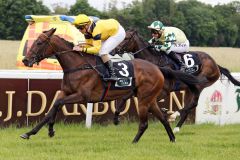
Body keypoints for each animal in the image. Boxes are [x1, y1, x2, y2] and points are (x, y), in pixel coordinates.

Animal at [19, 28, 178, 143]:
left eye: (39, 43)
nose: (26, 60)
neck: (77, 66)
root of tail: (157, 68)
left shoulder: (82, 96)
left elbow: (57, 104)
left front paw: (44, 130)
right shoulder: (65, 92)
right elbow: (53, 108)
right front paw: (35, 132)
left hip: (144, 99)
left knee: (144, 123)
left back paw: (134, 142)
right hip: (149, 98)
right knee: (163, 118)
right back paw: (172, 139)